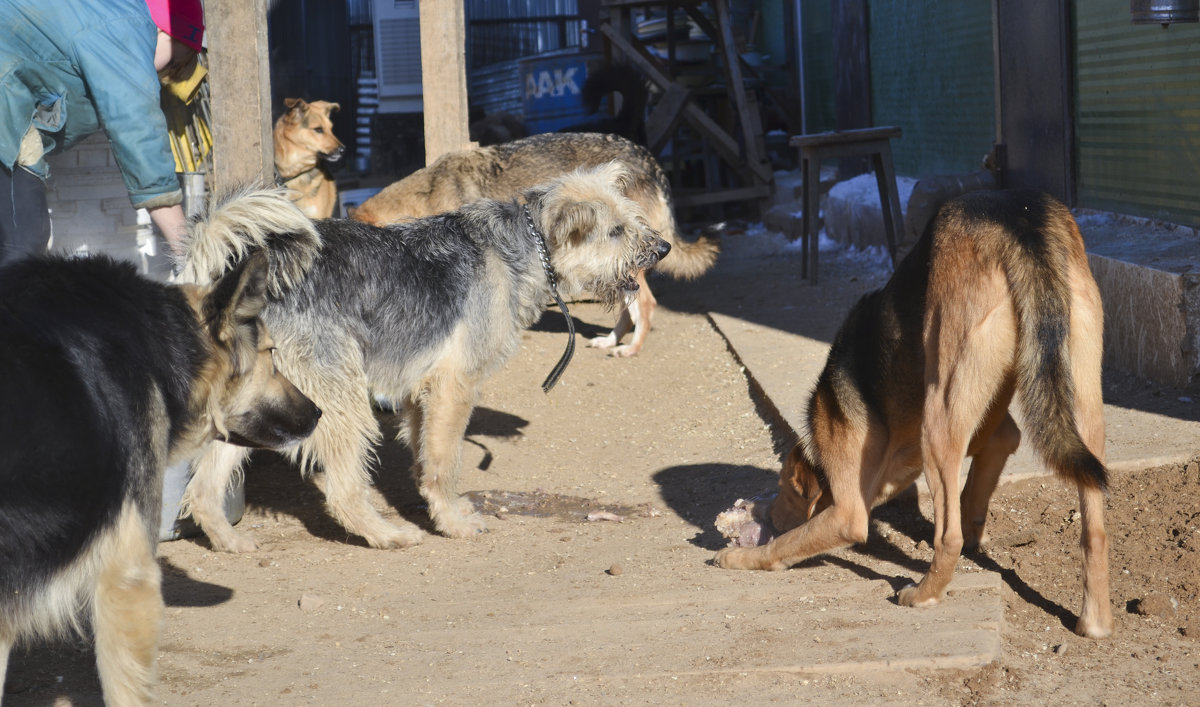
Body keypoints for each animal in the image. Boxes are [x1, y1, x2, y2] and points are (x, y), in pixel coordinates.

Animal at [176, 164, 672, 552]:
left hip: (254, 406)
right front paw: (452, 523)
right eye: (616, 232)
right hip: (339, 400)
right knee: (341, 491)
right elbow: (444, 463)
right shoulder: (454, 386)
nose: (663, 249)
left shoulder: (420, 390)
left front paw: (436, 508)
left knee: (203, 489)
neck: (528, 246)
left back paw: (230, 540)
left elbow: (424, 456)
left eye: (633, 220)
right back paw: (387, 535)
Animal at [350, 130, 715, 357]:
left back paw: (630, 349)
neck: (428, 194)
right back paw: (608, 341)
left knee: (646, 305)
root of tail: (650, 159)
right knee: (628, 309)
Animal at [710, 188, 1113, 638]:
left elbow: (786, 544)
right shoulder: (1001, 435)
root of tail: (1014, 215)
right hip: (1080, 400)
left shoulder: (848, 513)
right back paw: (1094, 621)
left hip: (938, 418)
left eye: (783, 488)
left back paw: (923, 593)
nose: (767, 515)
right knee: (1094, 525)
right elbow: (975, 493)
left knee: (947, 536)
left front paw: (738, 558)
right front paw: (976, 534)